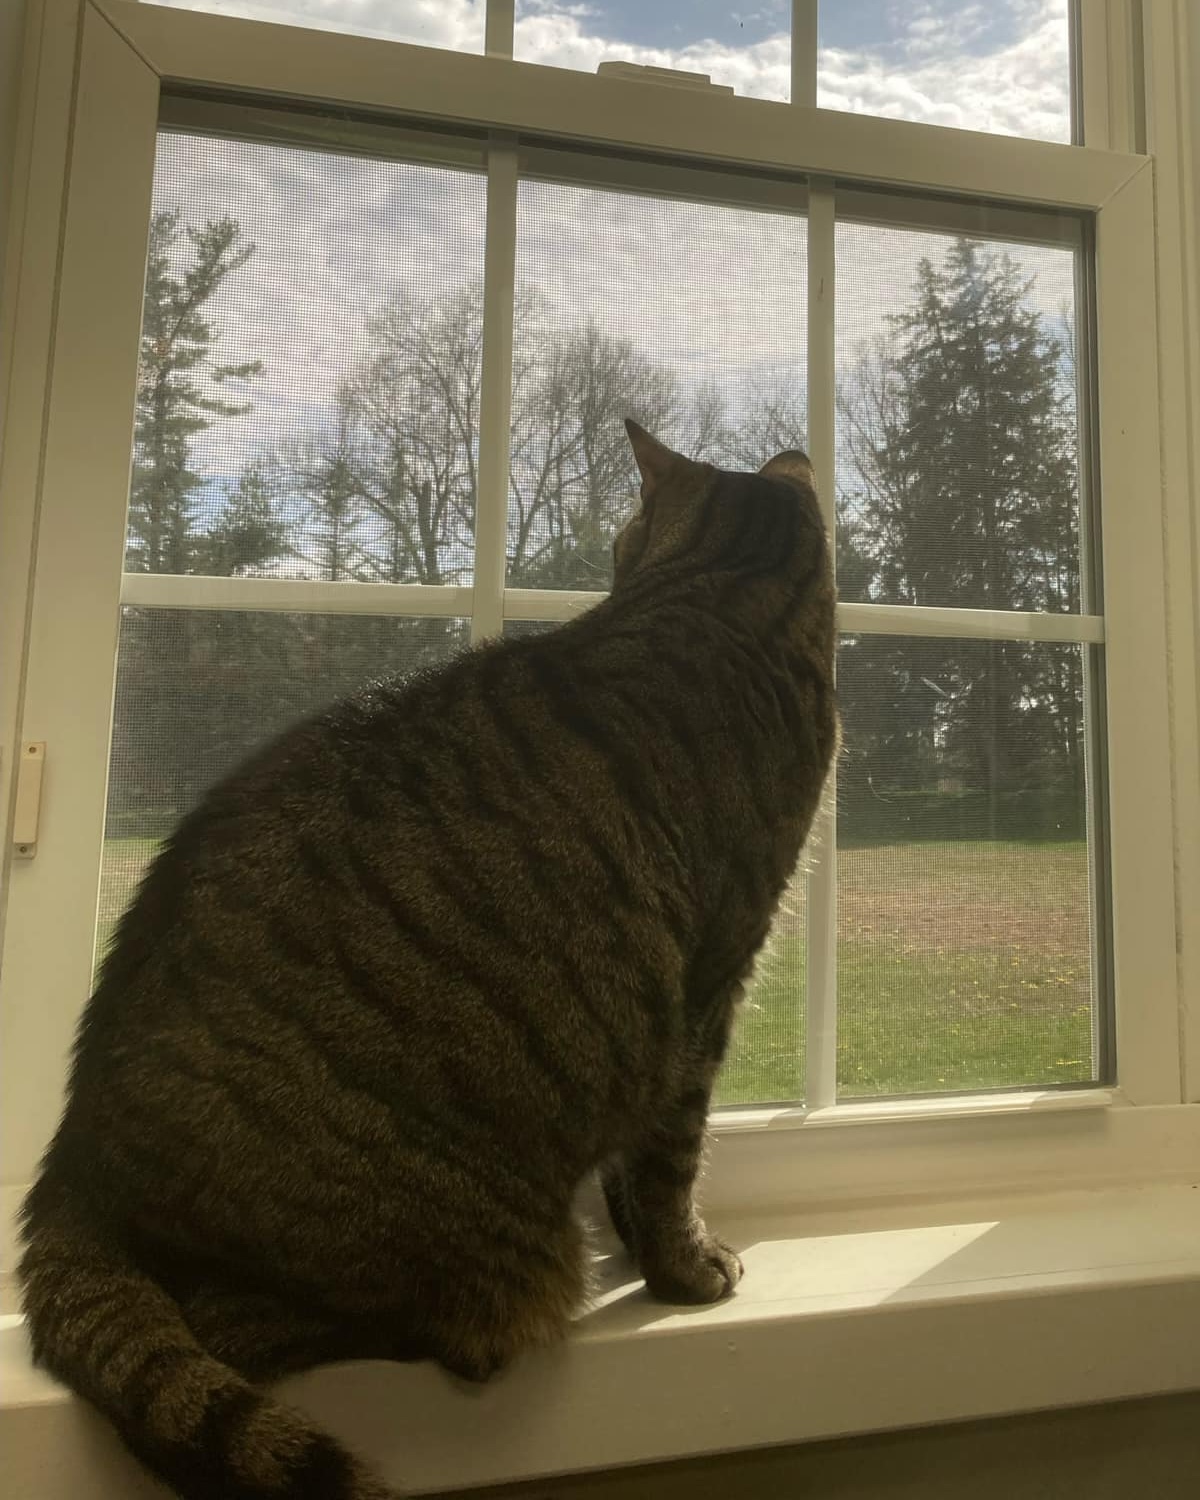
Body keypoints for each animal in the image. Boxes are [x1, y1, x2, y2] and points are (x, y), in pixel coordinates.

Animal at [16, 420, 834, 1500]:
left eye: (621, 538)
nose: (610, 561)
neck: (723, 587)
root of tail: (71, 1178)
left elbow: (639, 1164)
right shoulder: (710, 981)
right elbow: (670, 1161)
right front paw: (684, 1271)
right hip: (457, 1238)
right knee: (228, 1338)